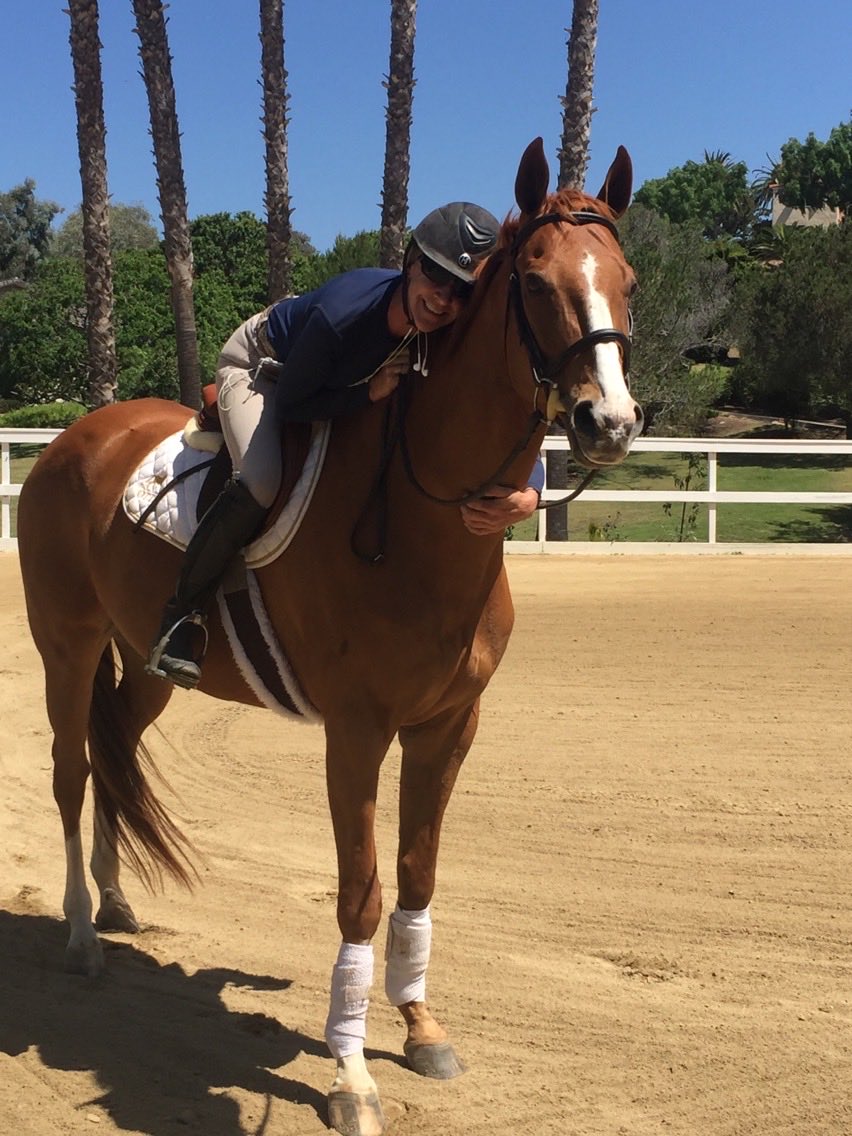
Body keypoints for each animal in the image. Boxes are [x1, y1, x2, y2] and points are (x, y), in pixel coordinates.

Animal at [16, 135, 645, 1136]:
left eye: (628, 280)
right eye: (538, 281)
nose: (609, 421)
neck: (422, 523)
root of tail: (78, 436)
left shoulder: (447, 728)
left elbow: (417, 879)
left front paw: (421, 1027)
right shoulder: (357, 734)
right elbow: (361, 893)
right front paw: (350, 1073)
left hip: (147, 665)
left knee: (117, 752)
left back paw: (115, 901)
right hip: (67, 646)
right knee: (73, 772)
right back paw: (81, 932)